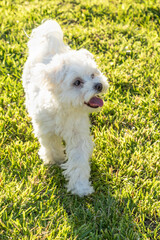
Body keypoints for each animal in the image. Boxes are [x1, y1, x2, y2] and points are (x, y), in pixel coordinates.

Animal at [22, 20, 109, 197]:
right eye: (77, 82)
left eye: (93, 75)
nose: (98, 85)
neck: (64, 108)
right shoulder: (46, 129)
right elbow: (51, 145)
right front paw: (55, 159)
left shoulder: (78, 135)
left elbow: (78, 160)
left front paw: (81, 187)